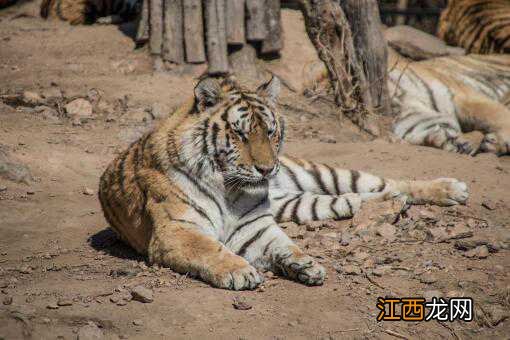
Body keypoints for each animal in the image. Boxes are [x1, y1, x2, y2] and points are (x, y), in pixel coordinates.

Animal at [97, 76, 468, 290]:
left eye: (271, 131)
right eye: (240, 133)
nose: (266, 169)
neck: (229, 189)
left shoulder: (255, 227)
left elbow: (285, 245)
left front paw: (304, 263)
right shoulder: (176, 230)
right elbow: (209, 248)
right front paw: (241, 272)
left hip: (322, 173)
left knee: (389, 182)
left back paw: (451, 189)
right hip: (300, 201)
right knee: (358, 197)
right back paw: (379, 205)